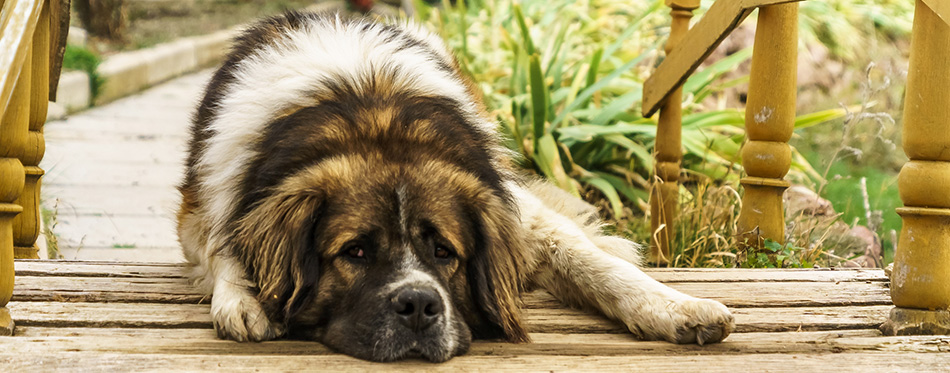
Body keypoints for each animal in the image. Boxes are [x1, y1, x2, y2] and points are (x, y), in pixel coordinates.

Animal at [182, 10, 740, 360]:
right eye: (355, 252)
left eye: (444, 251)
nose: (418, 306)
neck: (373, 117)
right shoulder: (207, 197)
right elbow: (220, 242)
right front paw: (242, 300)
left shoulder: (513, 206)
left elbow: (589, 260)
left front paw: (675, 307)